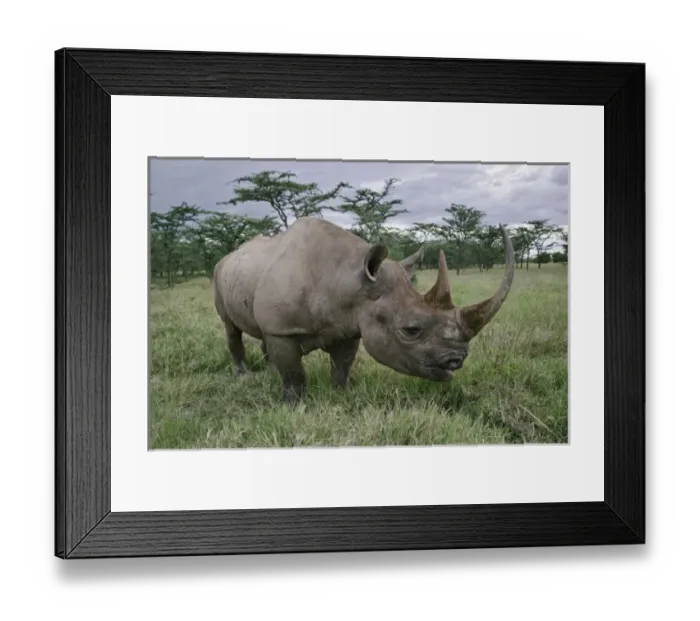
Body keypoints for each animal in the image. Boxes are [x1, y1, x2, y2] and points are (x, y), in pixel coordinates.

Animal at [212, 217, 515, 404]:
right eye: (411, 330)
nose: (457, 361)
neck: (346, 278)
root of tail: (228, 256)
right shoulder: (282, 329)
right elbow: (294, 373)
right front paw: (294, 405)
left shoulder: (349, 325)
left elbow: (343, 365)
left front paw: (341, 394)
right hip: (219, 272)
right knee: (230, 327)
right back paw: (244, 376)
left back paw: (267, 370)